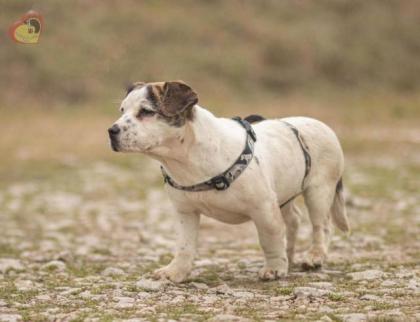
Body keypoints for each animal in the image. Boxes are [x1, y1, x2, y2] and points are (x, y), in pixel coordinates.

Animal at [108, 80, 348, 282]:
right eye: (122, 111)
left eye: (146, 112)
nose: (111, 130)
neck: (186, 160)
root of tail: (321, 124)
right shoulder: (186, 212)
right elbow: (185, 246)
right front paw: (176, 272)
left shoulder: (263, 208)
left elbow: (269, 239)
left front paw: (274, 268)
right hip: (283, 194)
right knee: (293, 221)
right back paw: (289, 255)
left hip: (318, 191)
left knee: (321, 226)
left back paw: (314, 257)